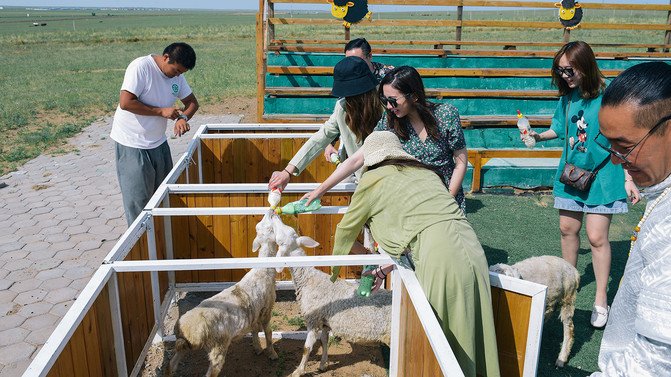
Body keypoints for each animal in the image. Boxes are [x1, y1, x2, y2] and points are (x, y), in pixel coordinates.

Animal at [172, 210, 282, 374]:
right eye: (269, 227)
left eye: (259, 226)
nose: (271, 211)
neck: (263, 270)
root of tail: (187, 331)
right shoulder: (266, 309)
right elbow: (268, 332)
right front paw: (272, 354)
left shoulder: (254, 312)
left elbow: (255, 330)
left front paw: (257, 348)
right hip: (218, 347)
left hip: (183, 347)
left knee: (171, 364)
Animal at [270, 214, 392, 376]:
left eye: (281, 237)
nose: (274, 214)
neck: (308, 279)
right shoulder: (325, 322)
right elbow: (324, 341)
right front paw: (323, 364)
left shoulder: (313, 319)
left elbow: (306, 348)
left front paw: (299, 371)